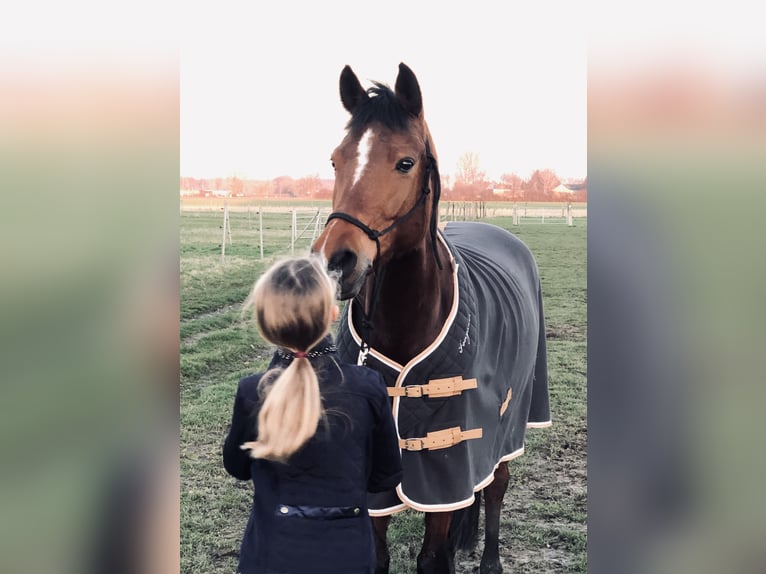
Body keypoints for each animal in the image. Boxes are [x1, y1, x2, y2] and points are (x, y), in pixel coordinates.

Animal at [312, 63, 551, 574]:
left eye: (405, 162)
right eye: (336, 161)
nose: (337, 261)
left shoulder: (446, 467)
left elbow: (432, 558)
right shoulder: (377, 483)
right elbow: (378, 556)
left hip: (507, 425)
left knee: (496, 487)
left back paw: (490, 560)